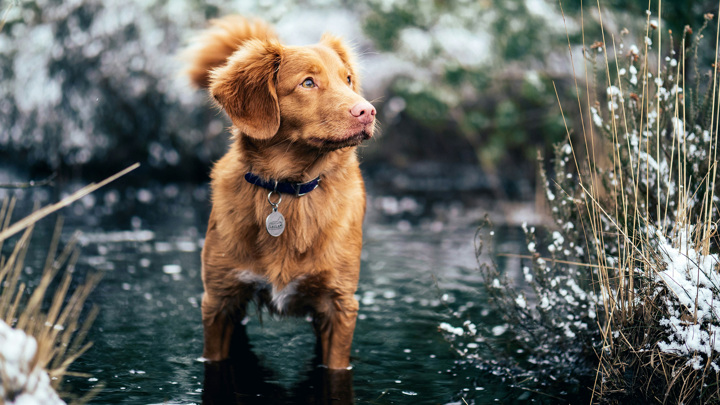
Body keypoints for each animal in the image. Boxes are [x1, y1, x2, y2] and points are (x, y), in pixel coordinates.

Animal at [184, 15, 376, 370]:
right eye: (308, 83)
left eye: (347, 79)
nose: (368, 112)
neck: (287, 189)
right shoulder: (219, 300)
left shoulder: (340, 305)